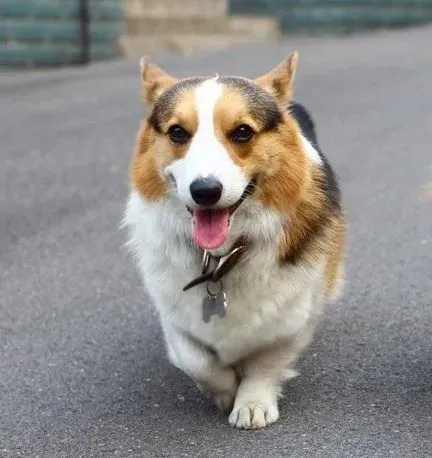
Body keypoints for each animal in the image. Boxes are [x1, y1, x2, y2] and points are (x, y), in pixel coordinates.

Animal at [123, 53, 346, 430]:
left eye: (243, 132)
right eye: (177, 132)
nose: (205, 191)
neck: (219, 257)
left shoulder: (292, 319)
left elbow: (265, 363)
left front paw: (252, 403)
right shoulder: (174, 315)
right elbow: (197, 360)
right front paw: (225, 391)